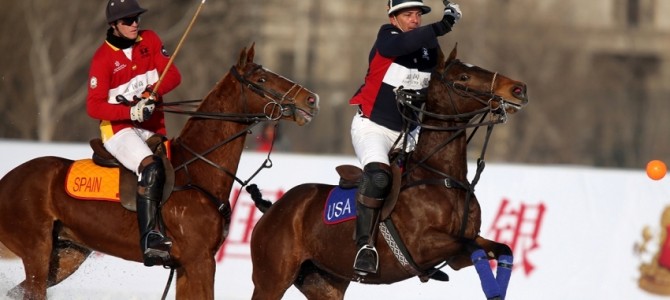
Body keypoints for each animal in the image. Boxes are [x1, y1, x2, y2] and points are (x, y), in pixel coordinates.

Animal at [0, 44, 322, 300]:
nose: (311, 99)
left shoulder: (187, 265)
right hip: (36, 248)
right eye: (261, 79)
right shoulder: (199, 260)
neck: (197, 168)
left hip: (67, 253)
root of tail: (6, 181)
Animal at [251, 45, 532, 300]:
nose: (518, 89)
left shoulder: (457, 255)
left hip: (323, 282)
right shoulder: (423, 246)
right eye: (463, 77)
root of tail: (274, 208)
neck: (442, 178)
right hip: (271, 280)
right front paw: (493, 290)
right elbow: (472, 246)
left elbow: (502, 248)